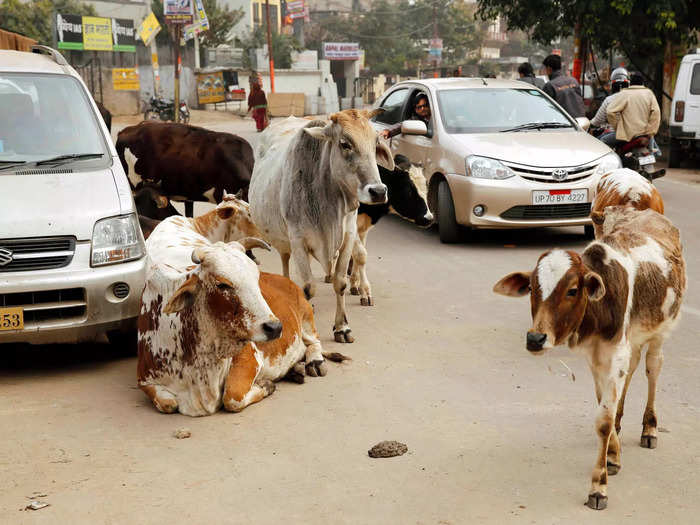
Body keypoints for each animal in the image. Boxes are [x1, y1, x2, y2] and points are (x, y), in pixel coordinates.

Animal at [249, 109, 394, 344]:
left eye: (375, 143)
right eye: (345, 144)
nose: (379, 191)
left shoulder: (348, 237)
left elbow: (340, 282)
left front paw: (342, 327)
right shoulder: (298, 240)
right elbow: (309, 287)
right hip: (283, 240)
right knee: (286, 264)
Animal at [348, 154, 432, 304]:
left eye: (427, 188)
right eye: (409, 190)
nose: (429, 218)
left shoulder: (363, 227)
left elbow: (357, 254)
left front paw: (355, 285)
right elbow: (361, 255)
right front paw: (366, 292)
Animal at [494, 207, 688, 510]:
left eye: (573, 290)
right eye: (533, 289)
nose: (535, 339)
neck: (600, 308)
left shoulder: (616, 352)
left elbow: (603, 421)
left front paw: (599, 487)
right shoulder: (597, 357)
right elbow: (603, 409)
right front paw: (612, 454)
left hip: (661, 332)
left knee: (652, 368)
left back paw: (650, 428)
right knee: (632, 370)